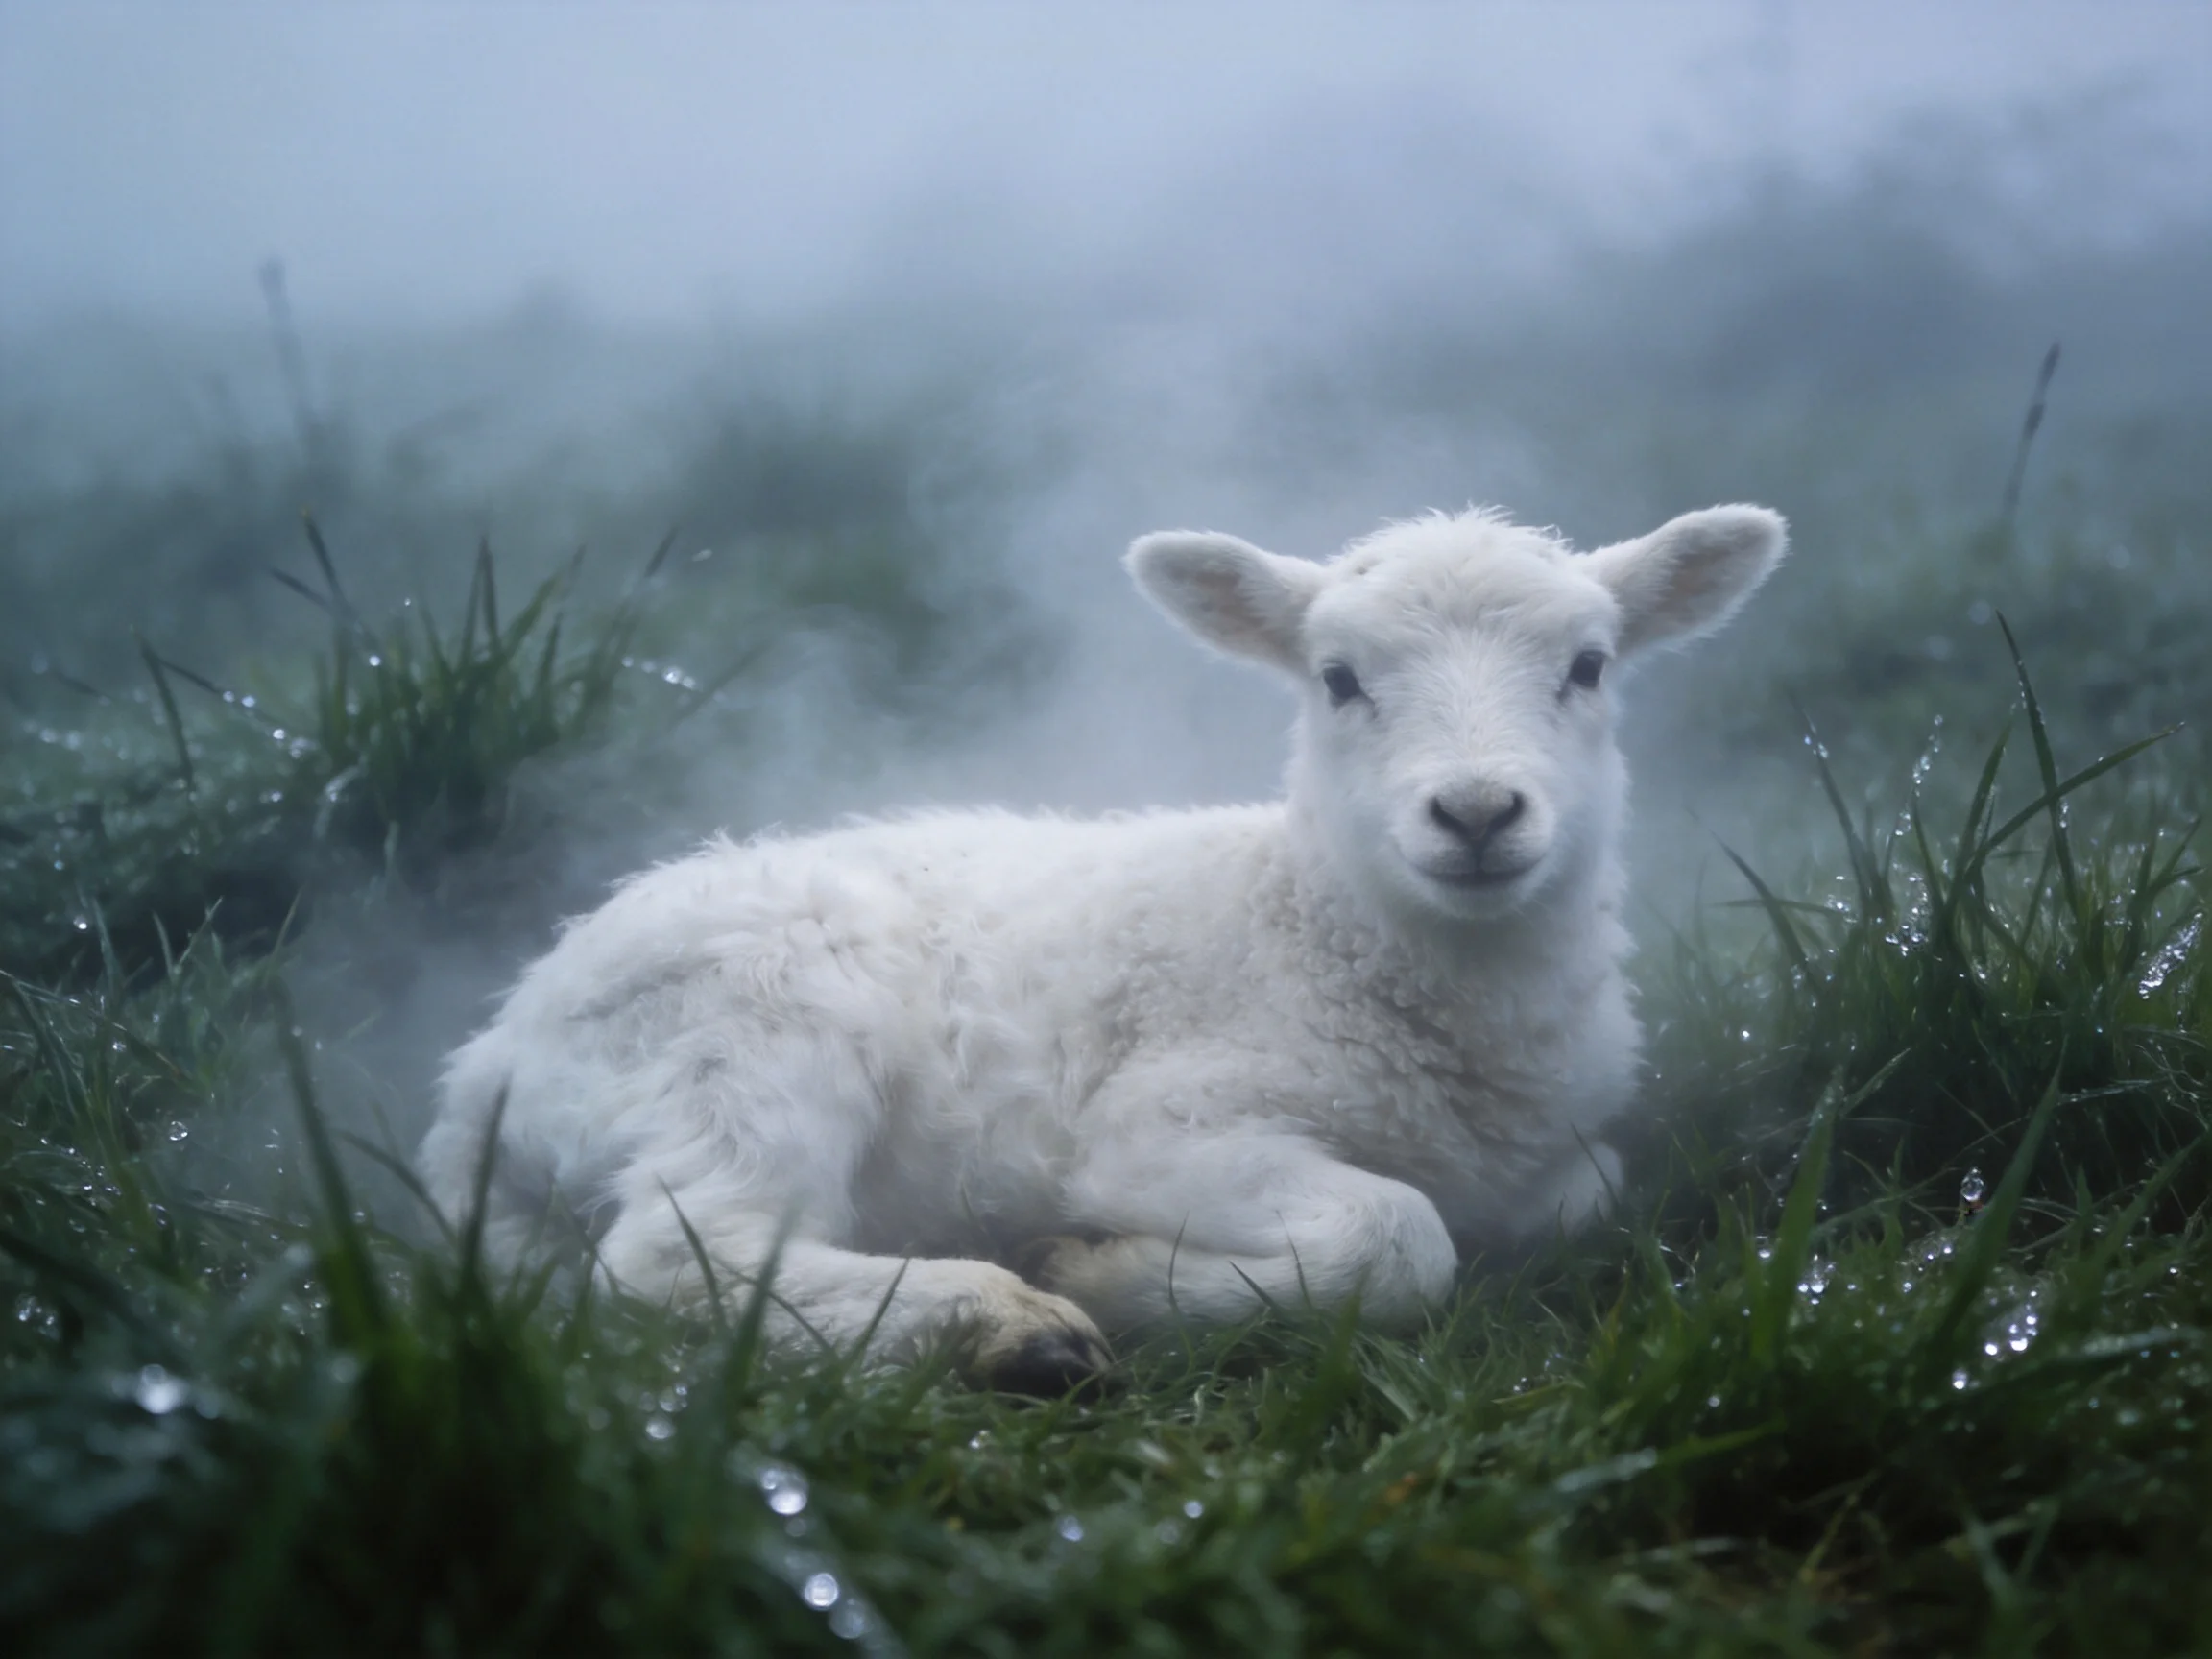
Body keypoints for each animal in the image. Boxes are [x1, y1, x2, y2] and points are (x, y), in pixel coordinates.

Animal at [419, 502, 1786, 1390]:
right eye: (1339, 679)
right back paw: (1004, 1320)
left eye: (1589, 666)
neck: (1319, 923)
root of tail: (487, 1066)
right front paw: (1110, 1272)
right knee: (676, 1259)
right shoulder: (1163, 1125)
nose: (1478, 814)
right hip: (751, 1035)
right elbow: (1403, 1237)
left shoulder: (1559, 1153)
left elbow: (1587, 1199)